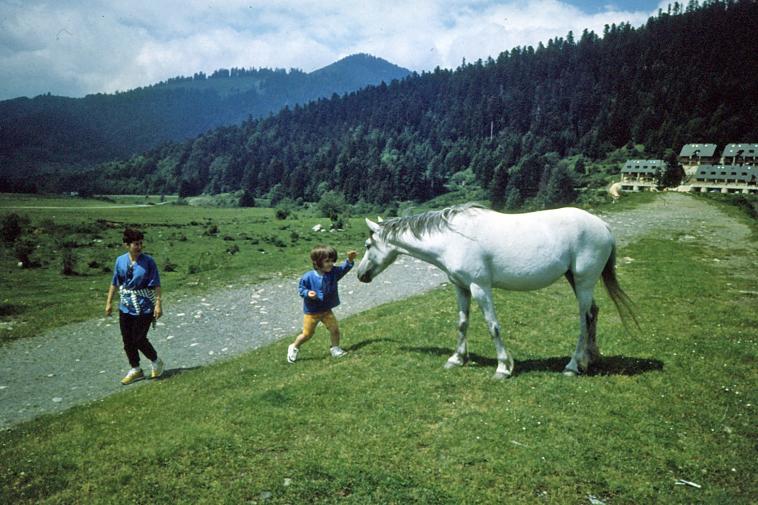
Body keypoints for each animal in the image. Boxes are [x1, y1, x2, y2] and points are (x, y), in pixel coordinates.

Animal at [356, 204, 636, 378]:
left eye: (368, 245)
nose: (360, 275)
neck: (453, 238)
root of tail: (603, 226)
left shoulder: (480, 288)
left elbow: (493, 326)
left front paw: (503, 368)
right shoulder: (461, 288)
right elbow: (462, 323)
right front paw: (456, 359)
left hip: (583, 281)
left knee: (584, 319)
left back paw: (573, 366)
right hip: (576, 281)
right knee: (593, 313)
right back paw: (591, 358)